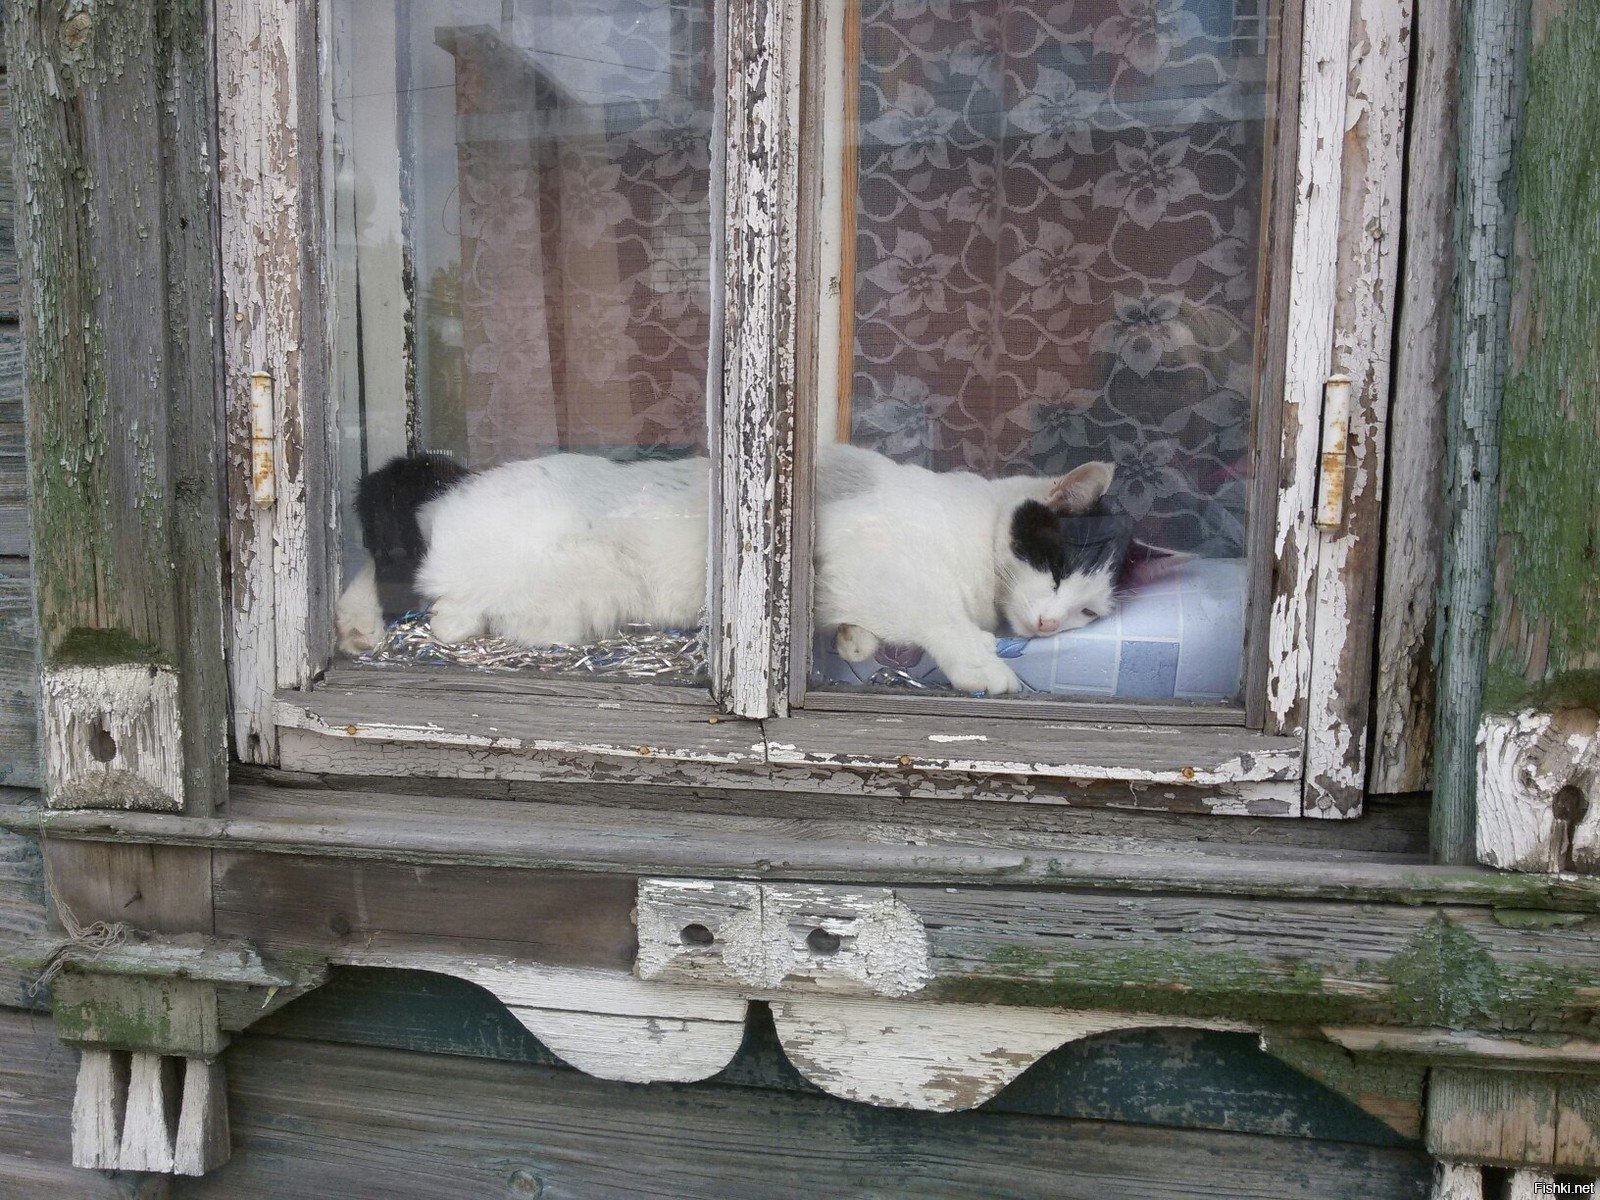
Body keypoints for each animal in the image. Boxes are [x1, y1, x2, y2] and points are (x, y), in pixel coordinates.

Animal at [337, 448, 1113, 694]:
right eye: (1055, 568)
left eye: (1091, 612)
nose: (1049, 624)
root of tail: (453, 491)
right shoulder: (874, 555)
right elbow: (934, 614)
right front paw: (983, 667)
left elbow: (866, 623)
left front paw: (854, 640)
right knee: (441, 607)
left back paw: (356, 629)